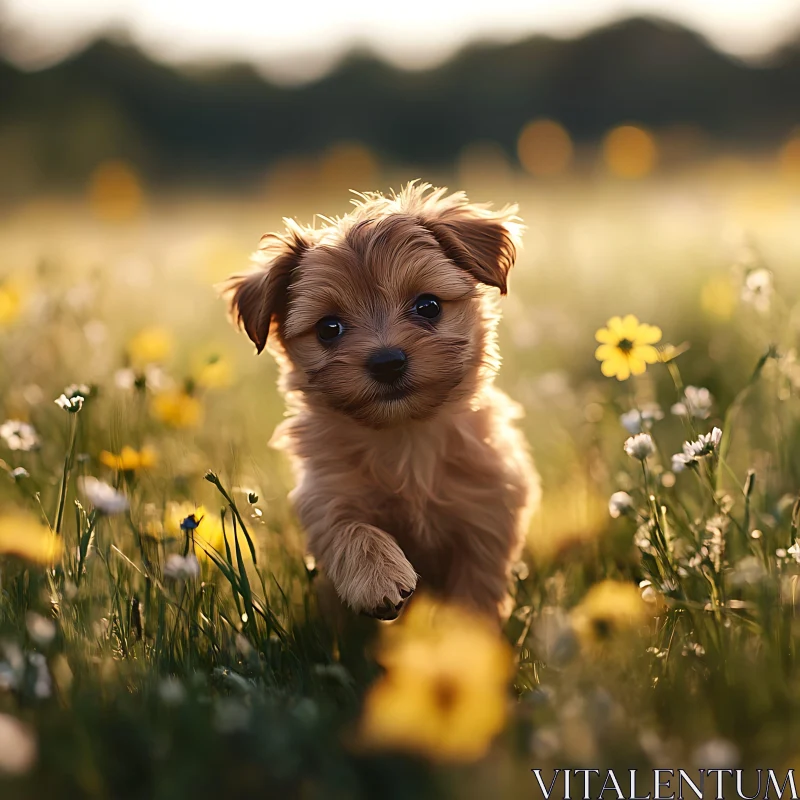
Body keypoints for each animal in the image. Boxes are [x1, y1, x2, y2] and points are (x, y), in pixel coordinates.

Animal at [222, 184, 540, 620]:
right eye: (328, 328)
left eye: (428, 306)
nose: (387, 362)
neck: (405, 437)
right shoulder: (327, 493)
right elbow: (351, 529)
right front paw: (379, 578)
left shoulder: (488, 512)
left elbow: (475, 590)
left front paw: (465, 636)